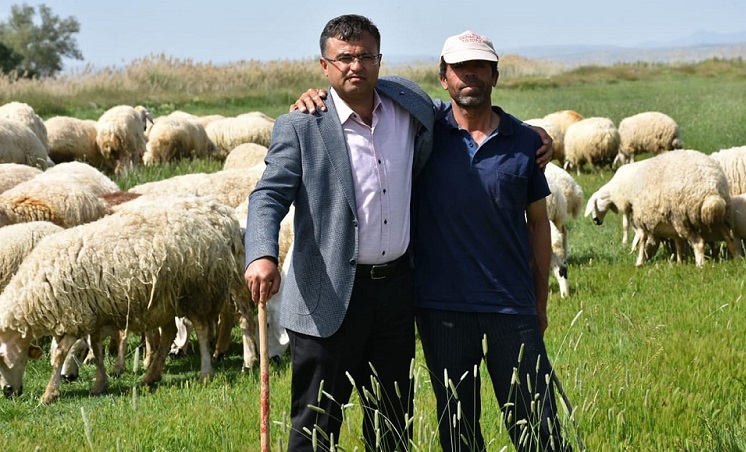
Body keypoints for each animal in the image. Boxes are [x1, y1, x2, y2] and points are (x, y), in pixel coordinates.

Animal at [0, 194, 247, 402]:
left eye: (1, 359)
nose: (8, 392)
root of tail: (222, 214)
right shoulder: (93, 315)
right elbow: (97, 350)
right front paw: (100, 383)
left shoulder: (76, 316)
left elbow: (60, 355)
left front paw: (49, 394)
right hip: (167, 299)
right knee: (169, 333)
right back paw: (151, 376)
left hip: (196, 290)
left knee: (202, 330)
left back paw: (205, 373)